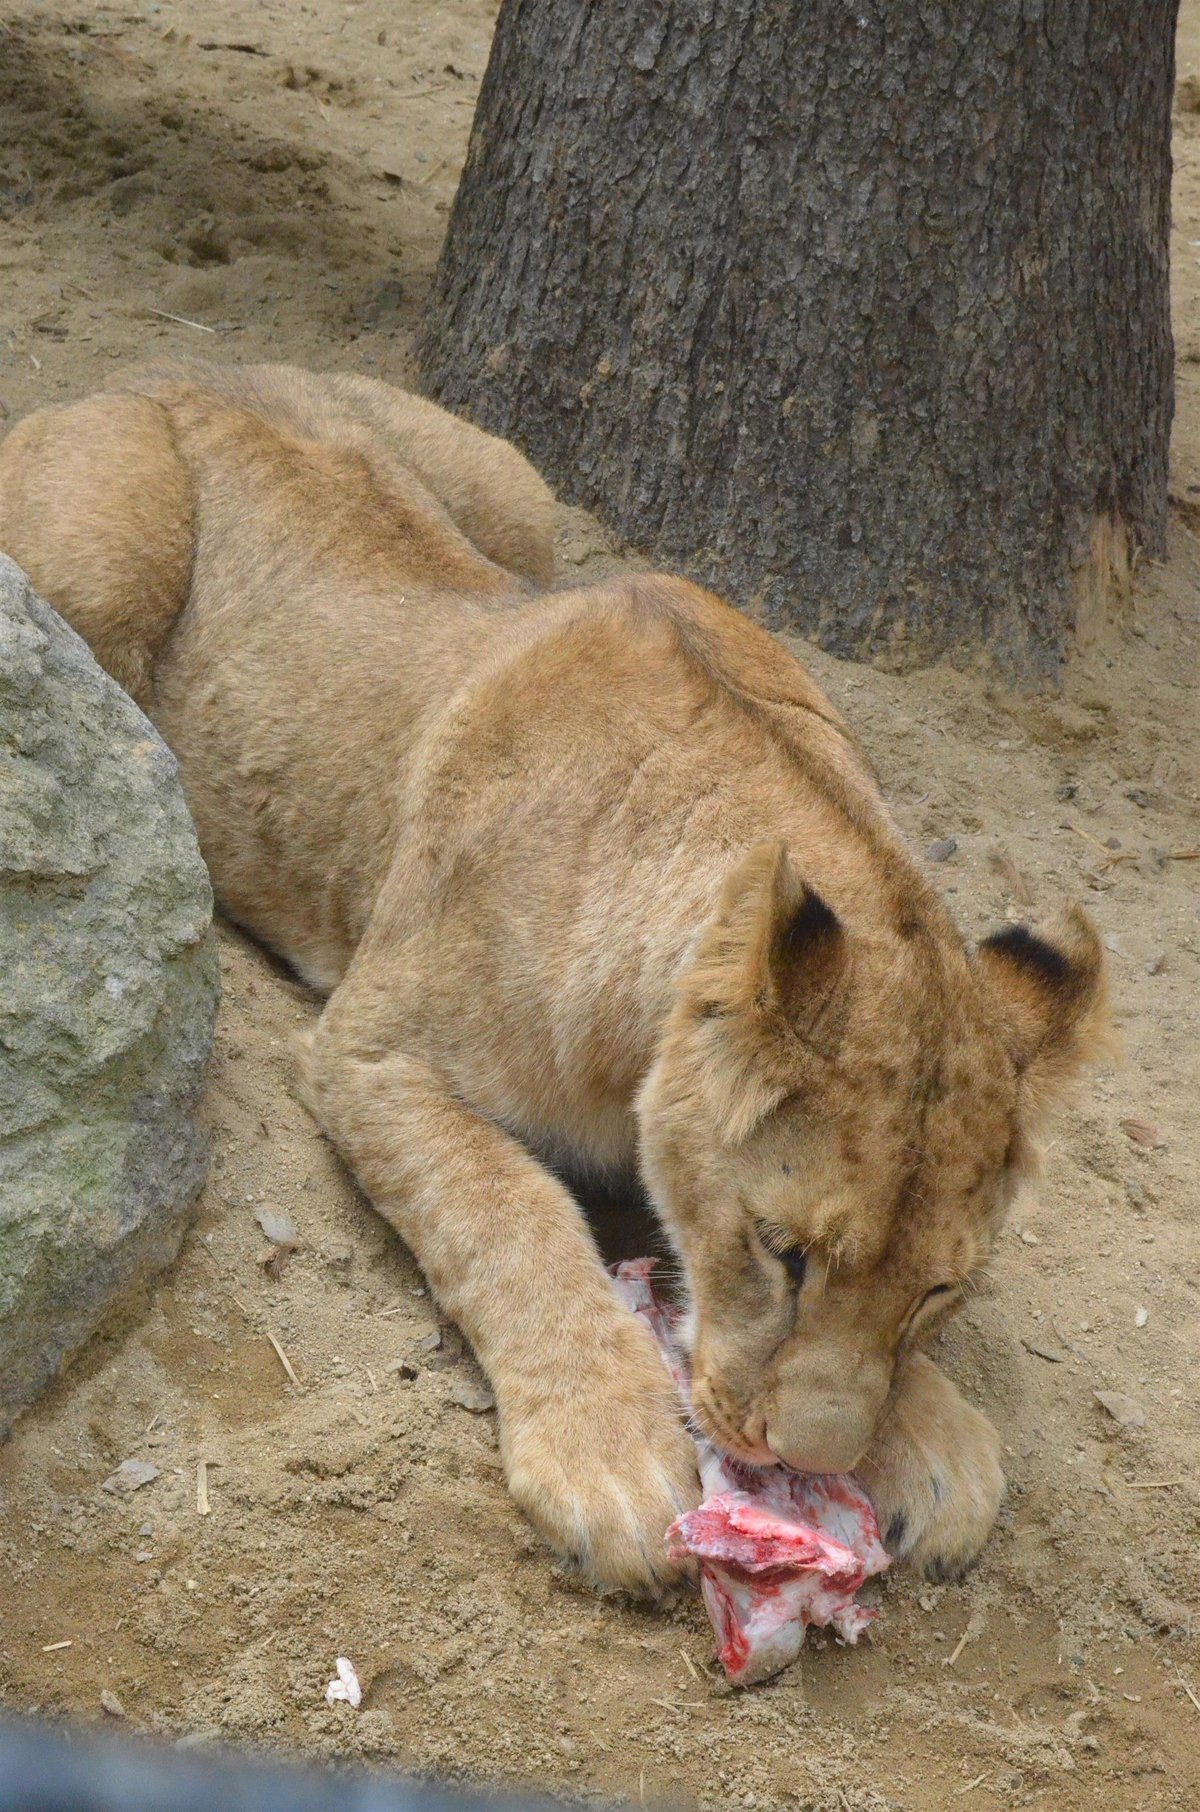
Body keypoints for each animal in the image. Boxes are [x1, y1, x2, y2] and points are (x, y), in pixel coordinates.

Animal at [0, 360, 1116, 1594]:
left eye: (940, 1289)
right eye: (782, 1255)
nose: (812, 1460)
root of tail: (184, 368)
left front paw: (937, 1436)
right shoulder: (370, 1051)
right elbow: (509, 1213)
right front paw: (610, 1453)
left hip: (514, 494)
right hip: (110, 557)